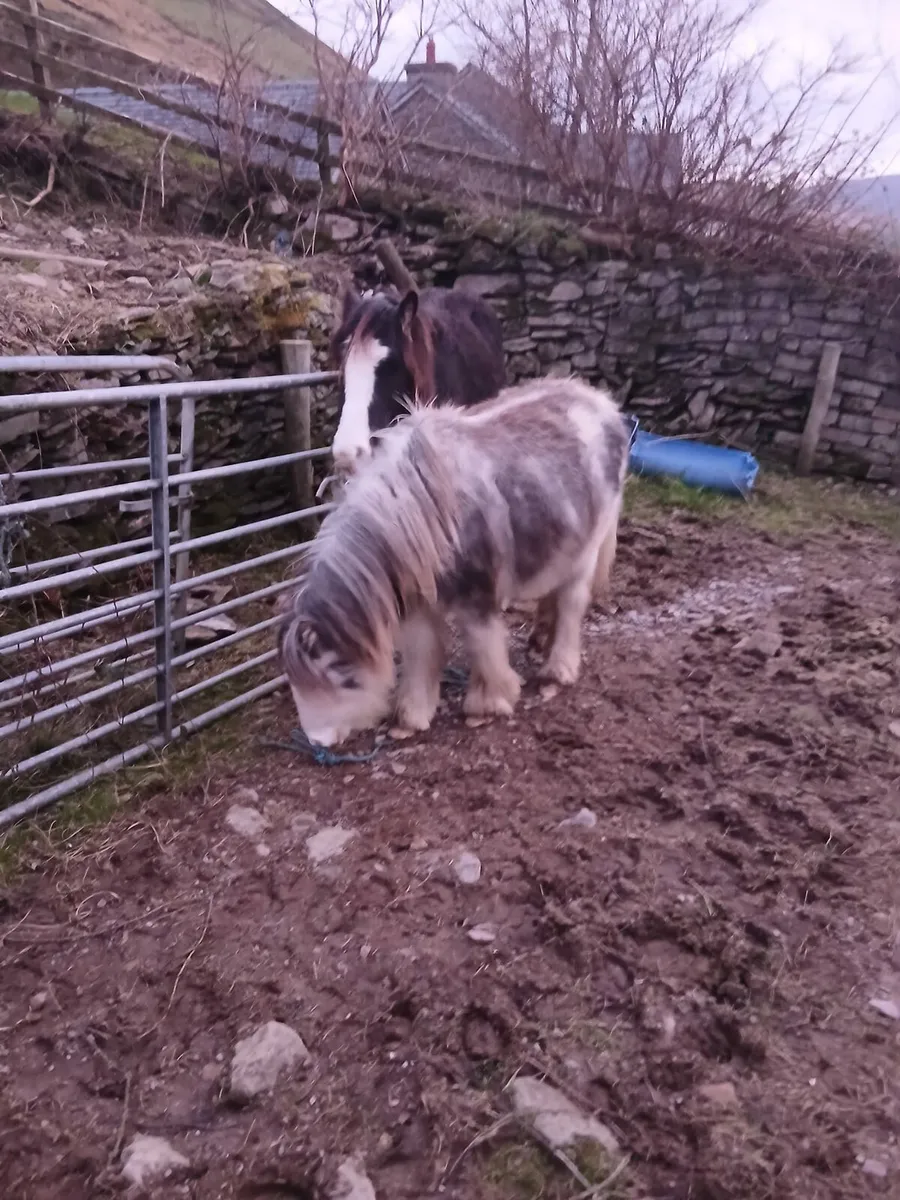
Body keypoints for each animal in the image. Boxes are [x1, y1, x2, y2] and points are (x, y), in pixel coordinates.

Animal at [278, 376, 630, 748]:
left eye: (332, 669)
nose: (317, 742)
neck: (416, 517)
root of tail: (603, 403)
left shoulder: (477, 597)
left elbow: (483, 646)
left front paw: (487, 705)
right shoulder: (418, 608)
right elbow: (421, 655)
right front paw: (410, 719)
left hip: (586, 551)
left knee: (571, 604)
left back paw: (557, 671)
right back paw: (538, 643)